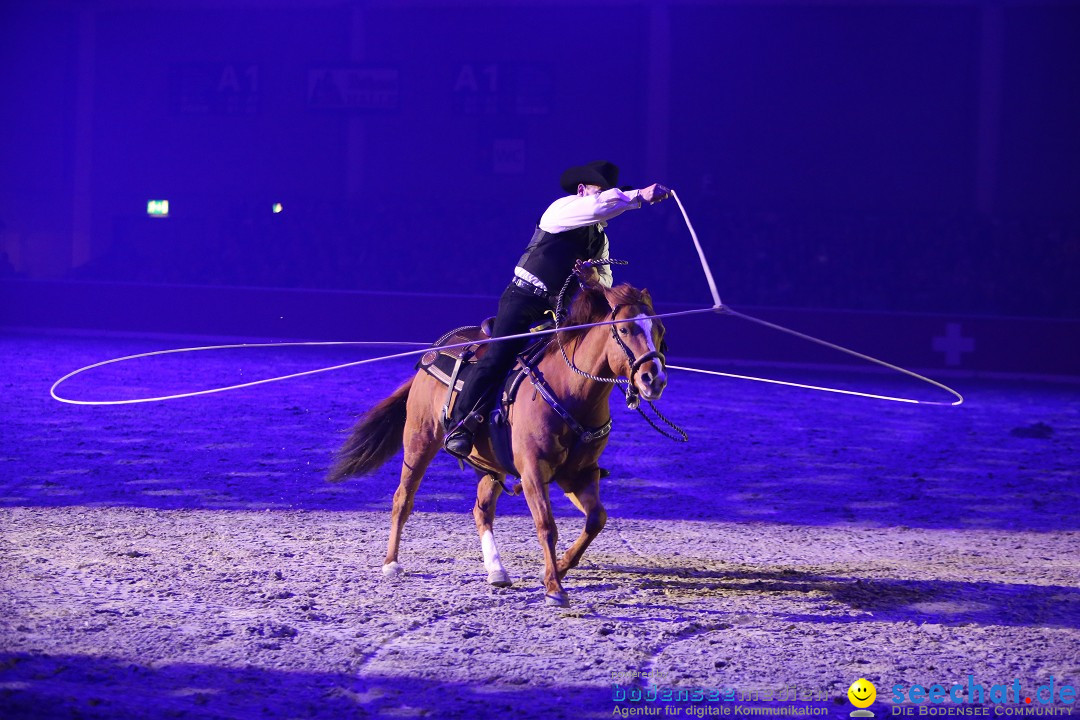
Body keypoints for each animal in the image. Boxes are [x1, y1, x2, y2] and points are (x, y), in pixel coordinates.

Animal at [328, 282, 665, 608]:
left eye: (659, 329)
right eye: (625, 329)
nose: (654, 379)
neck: (568, 390)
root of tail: (435, 352)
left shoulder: (580, 474)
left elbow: (596, 519)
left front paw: (560, 567)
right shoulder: (533, 471)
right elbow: (546, 525)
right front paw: (554, 588)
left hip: (489, 466)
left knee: (482, 511)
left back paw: (497, 570)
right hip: (419, 440)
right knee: (403, 498)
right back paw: (391, 563)